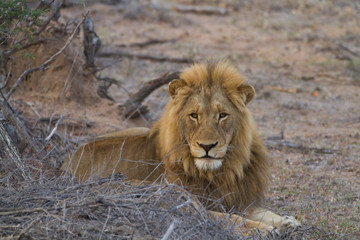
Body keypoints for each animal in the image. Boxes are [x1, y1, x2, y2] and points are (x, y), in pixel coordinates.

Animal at [62, 60, 300, 234]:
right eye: (194, 115)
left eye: (222, 115)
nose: (207, 146)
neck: (220, 172)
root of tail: (64, 166)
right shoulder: (204, 202)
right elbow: (232, 218)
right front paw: (267, 228)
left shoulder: (238, 199)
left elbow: (260, 211)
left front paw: (287, 221)